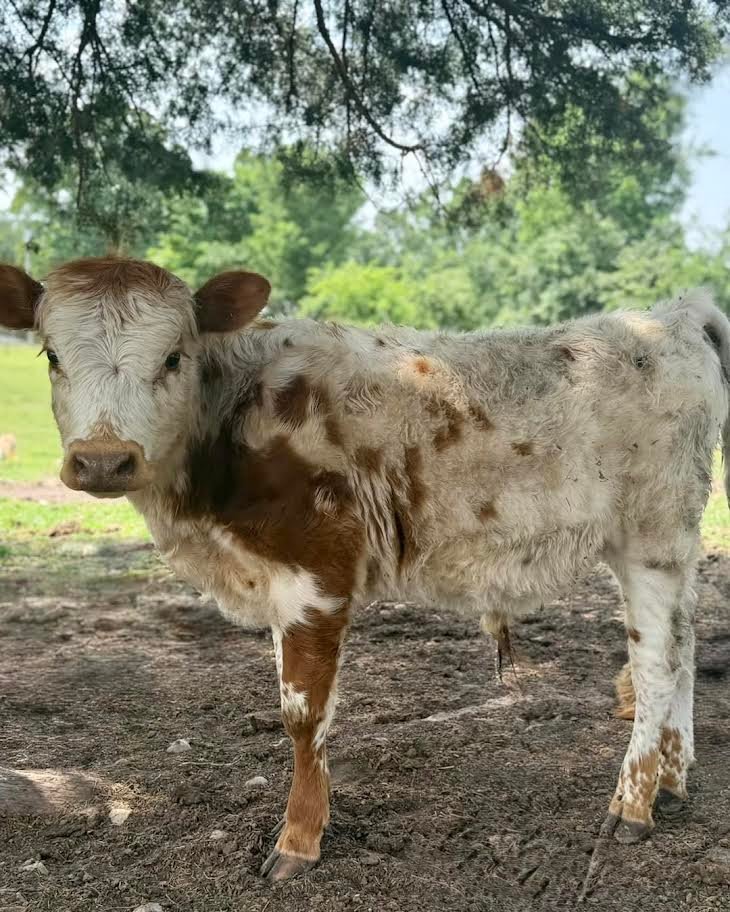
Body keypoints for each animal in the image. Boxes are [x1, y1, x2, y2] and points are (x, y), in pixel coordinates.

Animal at [0, 257, 728, 882]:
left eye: (173, 356)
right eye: (52, 354)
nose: (103, 460)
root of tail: (670, 316)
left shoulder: (316, 574)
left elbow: (303, 714)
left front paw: (298, 840)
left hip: (652, 538)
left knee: (656, 665)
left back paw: (634, 803)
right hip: (673, 547)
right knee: (687, 644)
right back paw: (674, 777)